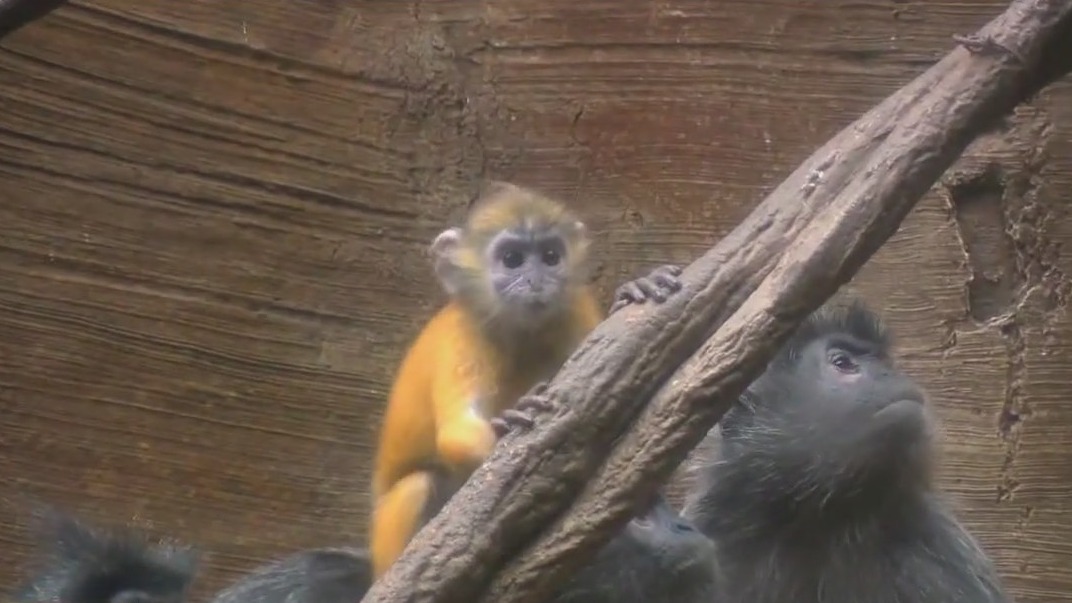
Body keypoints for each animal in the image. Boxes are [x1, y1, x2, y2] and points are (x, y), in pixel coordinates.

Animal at [369, 180, 683, 578]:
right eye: (512, 259)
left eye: (550, 255)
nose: (536, 281)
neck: (522, 335)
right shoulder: (464, 338)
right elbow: (458, 436)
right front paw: (505, 423)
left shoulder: (574, 309)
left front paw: (633, 290)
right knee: (417, 485)